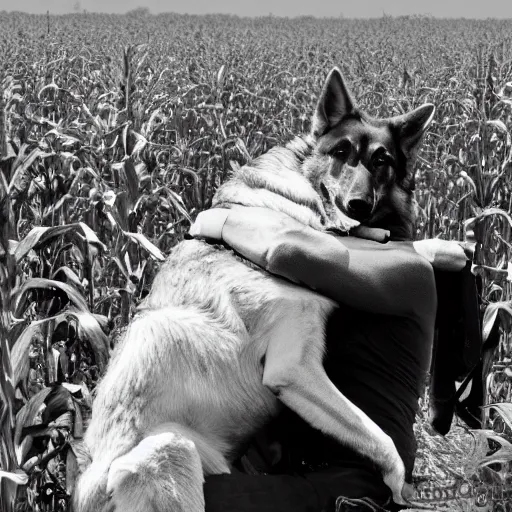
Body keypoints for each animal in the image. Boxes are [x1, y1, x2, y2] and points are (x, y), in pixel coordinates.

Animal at [73, 69, 432, 512]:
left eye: (381, 160)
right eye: (341, 151)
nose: (357, 205)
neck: (287, 201)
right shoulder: (293, 367)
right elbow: (379, 436)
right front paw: (398, 483)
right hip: (167, 451)